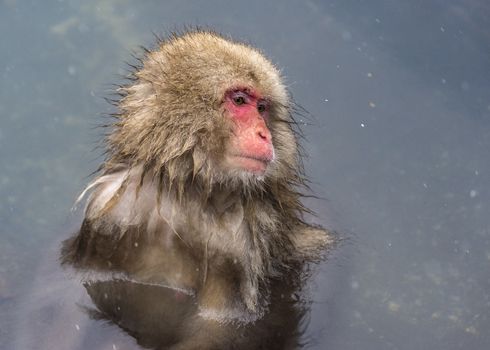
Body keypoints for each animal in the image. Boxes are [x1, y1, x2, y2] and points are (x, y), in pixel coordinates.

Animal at [62, 29, 334, 322]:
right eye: (240, 100)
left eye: (262, 108)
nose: (265, 134)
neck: (190, 195)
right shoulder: (110, 210)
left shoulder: (240, 248)